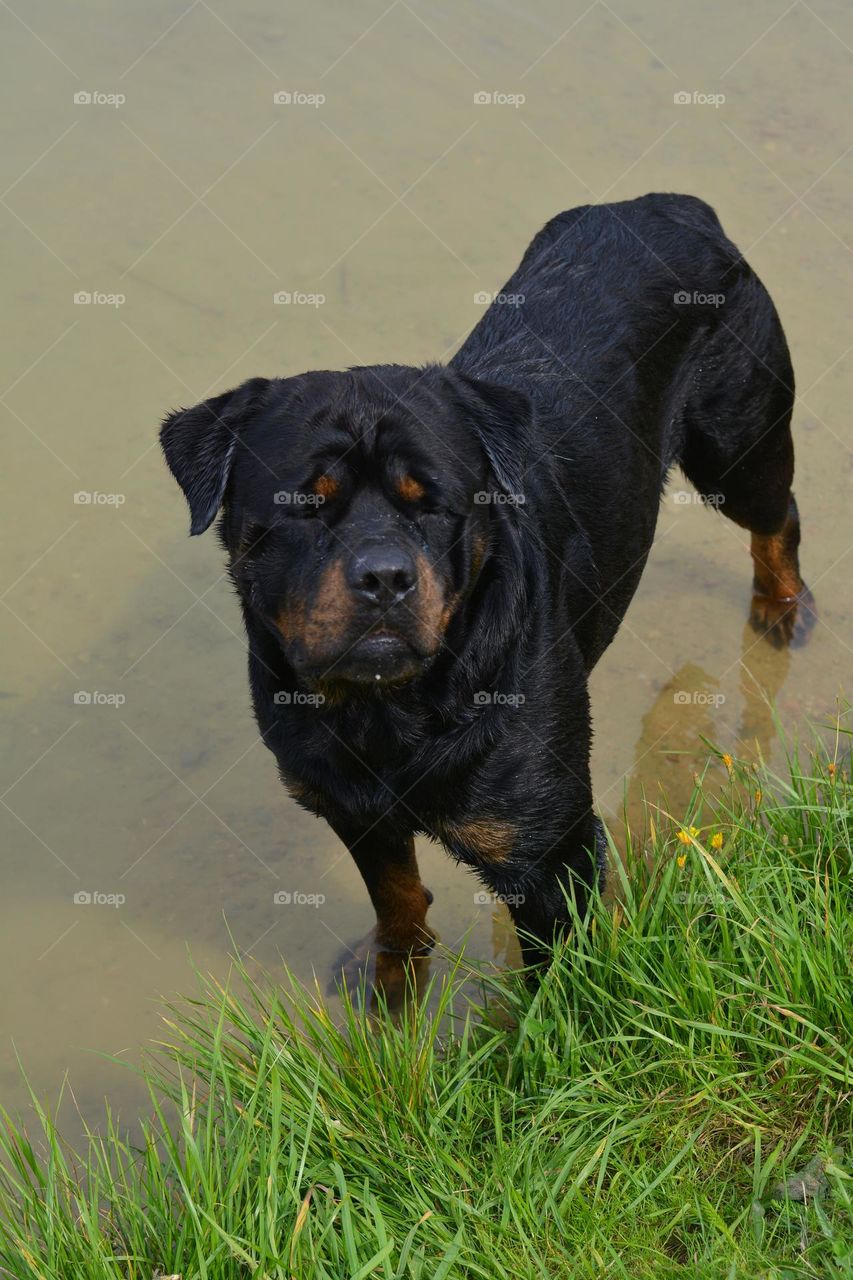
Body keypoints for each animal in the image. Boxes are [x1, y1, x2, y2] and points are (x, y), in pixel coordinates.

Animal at [161, 194, 809, 962]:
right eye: (304, 505)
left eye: (432, 503)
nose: (384, 576)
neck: (390, 713)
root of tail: (669, 204)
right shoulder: (353, 810)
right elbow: (399, 905)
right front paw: (392, 979)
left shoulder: (549, 852)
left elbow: (560, 979)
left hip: (734, 448)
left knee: (777, 516)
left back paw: (781, 609)